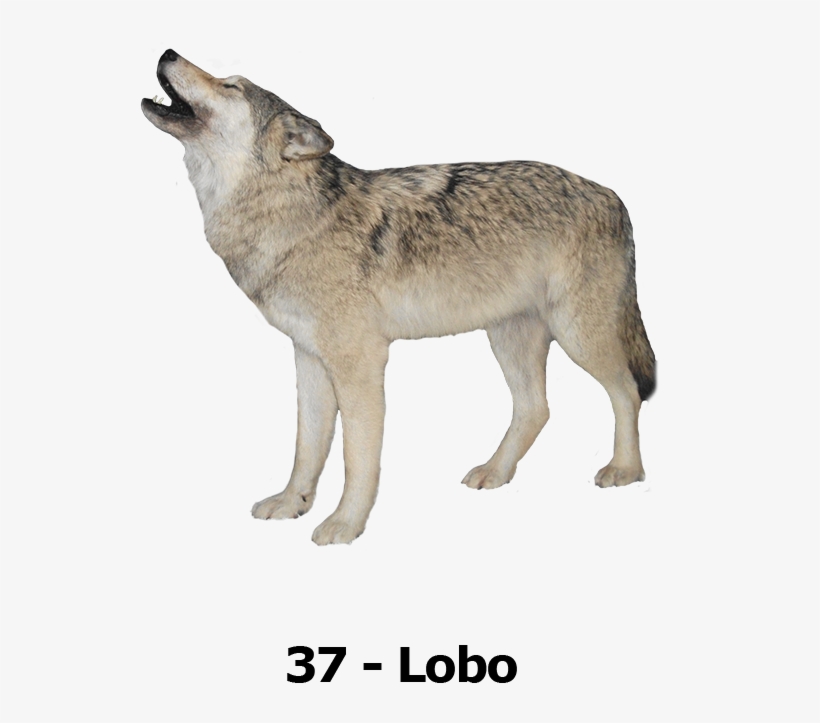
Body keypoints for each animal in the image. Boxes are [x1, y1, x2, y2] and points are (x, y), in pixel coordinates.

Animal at [142, 49, 656, 545]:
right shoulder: (308, 357)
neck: (290, 217)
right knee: (536, 408)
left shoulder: (360, 363)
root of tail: (612, 195)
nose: (167, 51)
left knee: (627, 391)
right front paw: (292, 503)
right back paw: (495, 472)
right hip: (508, 338)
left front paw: (345, 525)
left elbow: (356, 457)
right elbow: (307, 446)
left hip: (578, 336)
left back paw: (625, 470)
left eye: (231, 84)